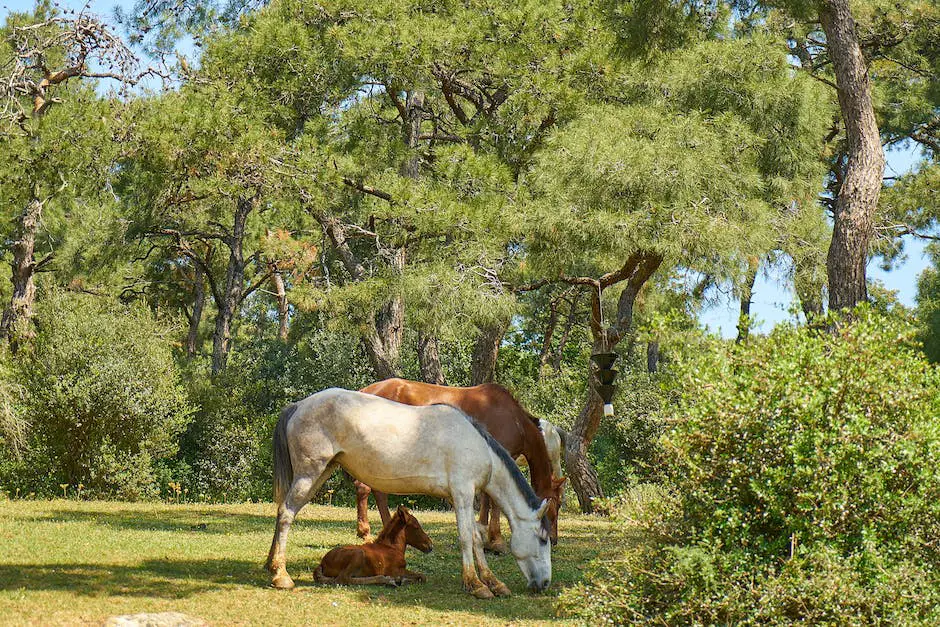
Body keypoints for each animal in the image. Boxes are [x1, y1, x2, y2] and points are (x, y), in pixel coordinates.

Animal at [264, 388, 552, 600]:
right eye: (543, 539)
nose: (545, 583)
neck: (478, 446)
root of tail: (299, 405)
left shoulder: (462, 498)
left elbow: (475, 537)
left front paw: (493, 582)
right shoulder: (463, 494)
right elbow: (466, 539)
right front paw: (476, 585)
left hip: (320, 473)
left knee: (283, 511)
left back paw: (270, 565)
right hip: (309, 473)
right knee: (286, 513)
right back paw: (281, 576)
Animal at [354, 376, 564, 552]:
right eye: (556, 505)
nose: (553, 540)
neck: (514, 420)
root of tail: (365, 391)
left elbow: (486, 499)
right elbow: (495, 501)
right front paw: (497, 541)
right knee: (368, 489)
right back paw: (371, 530)